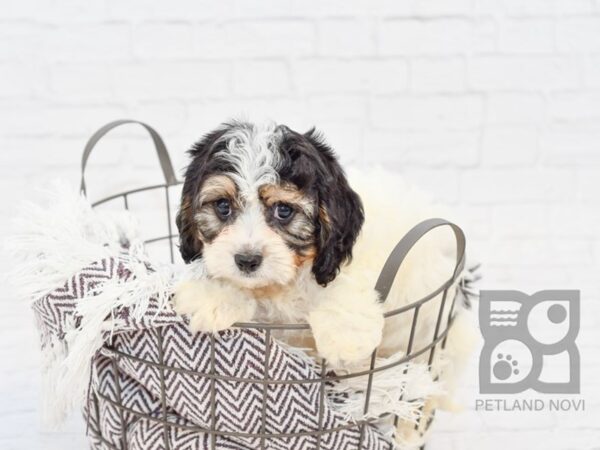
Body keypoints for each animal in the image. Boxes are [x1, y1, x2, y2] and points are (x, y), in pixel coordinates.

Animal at [172, 120, 384, 366]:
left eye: (283, 210)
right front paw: (213, 295)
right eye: (223, 206)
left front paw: (345, 333)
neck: (276, 287)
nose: (247, 260)